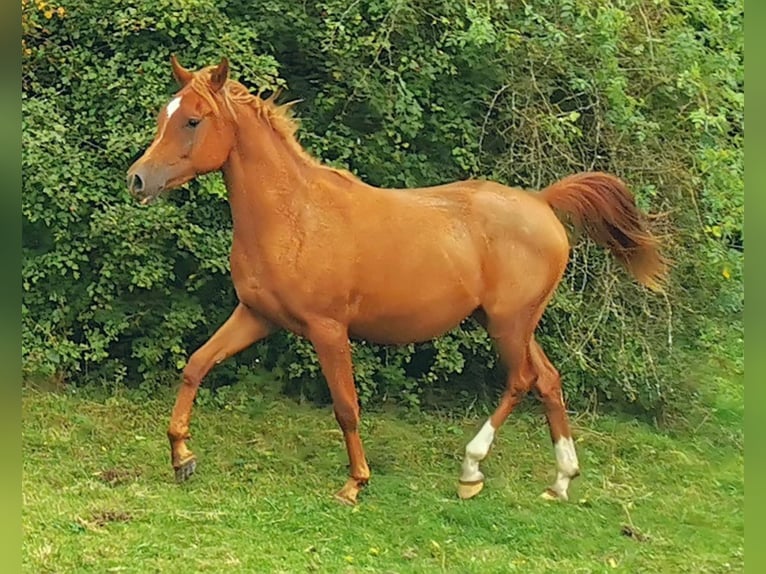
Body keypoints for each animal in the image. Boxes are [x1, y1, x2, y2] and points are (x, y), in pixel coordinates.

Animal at [126, 57, 664, 508]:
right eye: (162, 114)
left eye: (193, 120)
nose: (137, 180)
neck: (294, 216)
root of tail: (541, 202)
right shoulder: (256, 315)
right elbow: (197, 365)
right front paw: (182, 457)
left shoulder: (327, 329)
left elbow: (346, 406)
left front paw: (355, 483)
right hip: (514, 322)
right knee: (548, 380)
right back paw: (560, 481)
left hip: (508, 323)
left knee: (522, 380)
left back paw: (471, 469)